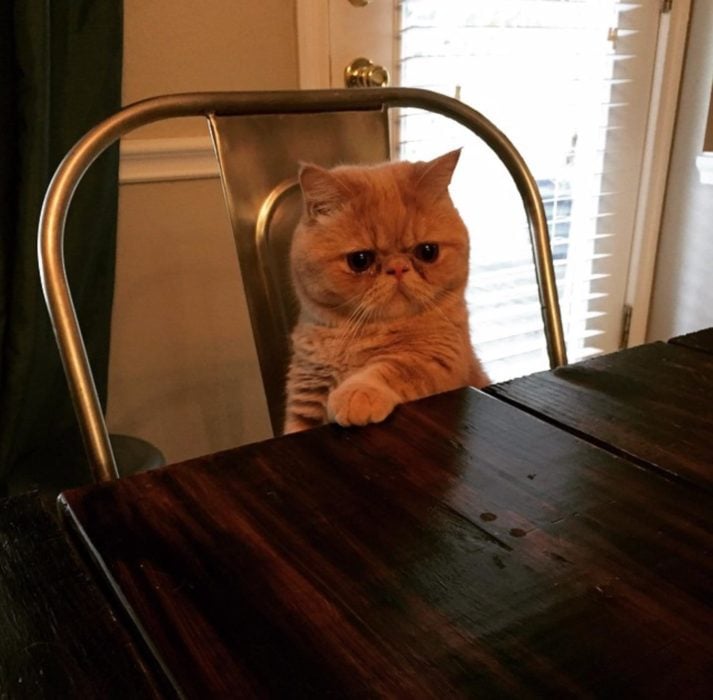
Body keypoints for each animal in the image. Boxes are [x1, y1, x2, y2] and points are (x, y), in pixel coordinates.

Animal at [280, 148, 486, 434]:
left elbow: (392, 367)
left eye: (427, 251)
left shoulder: (440, 358)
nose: (397, 267)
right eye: (360, 260)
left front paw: (357, 394)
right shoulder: (305, 397)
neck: (358, 336)